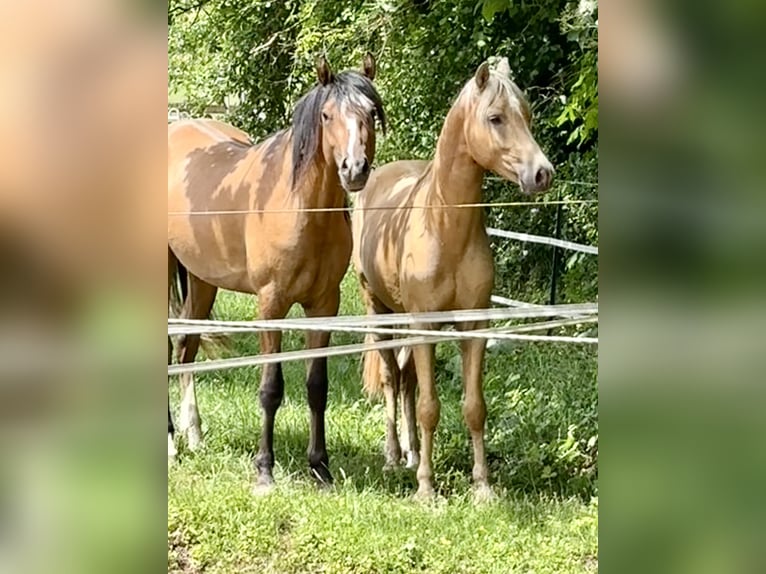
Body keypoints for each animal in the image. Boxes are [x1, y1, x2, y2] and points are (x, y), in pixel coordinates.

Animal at [168, 54, 386, 491]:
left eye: (371, 112)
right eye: (327, 114)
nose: (354, 169)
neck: (300, 206)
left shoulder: (324, 306)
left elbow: (317, 387)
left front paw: (320, 468)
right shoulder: (271, 305)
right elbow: (271, 388)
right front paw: (264, 470)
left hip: (201, 281)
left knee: (186, 345)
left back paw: (193, 434)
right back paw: (169, 444)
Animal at [351, 57, 553, 501]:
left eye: (528, 116)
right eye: (495, 118)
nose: (542, 174)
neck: (444, 225)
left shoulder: (473, 325)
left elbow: (474, 407)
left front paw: (483, 487)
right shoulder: (424, 325)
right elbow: (431, 407)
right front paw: (427, 489)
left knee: (407, 380)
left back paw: (411, 454)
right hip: (378, 309)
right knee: (392, 379)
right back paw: (394, 457)